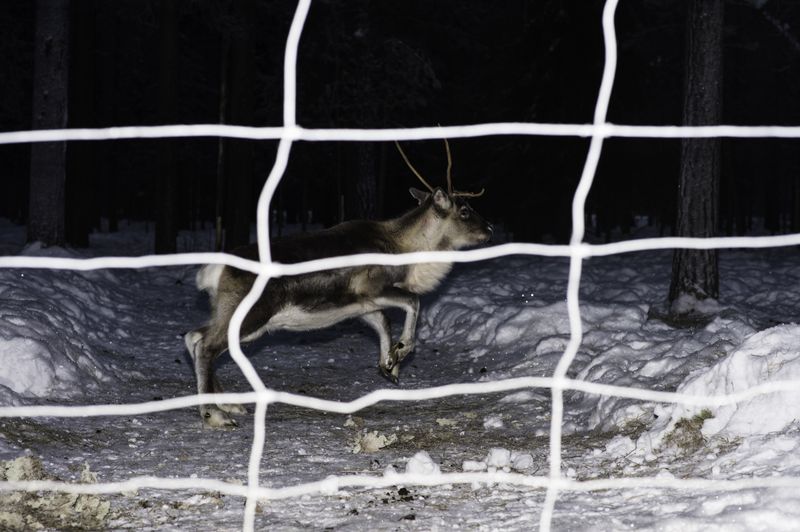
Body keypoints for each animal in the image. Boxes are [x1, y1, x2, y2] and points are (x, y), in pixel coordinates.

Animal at [184, 140, 492, 427]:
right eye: (465, 210)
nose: (489, 229)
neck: (405, 252)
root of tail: (213, 272)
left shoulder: (363, 305)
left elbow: (383, 322)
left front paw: (389, 364)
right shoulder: (373, 288)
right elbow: (413, 301)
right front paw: (402, 350)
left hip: (234, 314)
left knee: (194, 336)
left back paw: (228, 404)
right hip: (251, 313)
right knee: (206, 346)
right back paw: (215, 414)